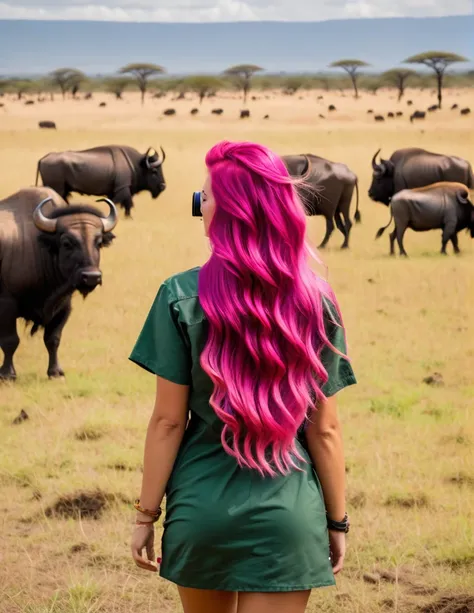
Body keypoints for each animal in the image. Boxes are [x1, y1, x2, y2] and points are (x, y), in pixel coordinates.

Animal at [0, 186, 117, 378]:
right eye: (67, 243)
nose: (91, 276)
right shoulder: (7, 305)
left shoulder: (63, 306)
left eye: (98, 242)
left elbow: (53, 339)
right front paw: (8, 373)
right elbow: (10, 341)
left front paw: (55, 371)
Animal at [35, 144, 166, 218]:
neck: (136, 164)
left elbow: (125, 205)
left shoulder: (115, 191)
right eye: (154, 171)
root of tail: (43, 159)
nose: (163, 186)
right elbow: (121, 203)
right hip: (57, 188)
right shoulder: (122, 189)